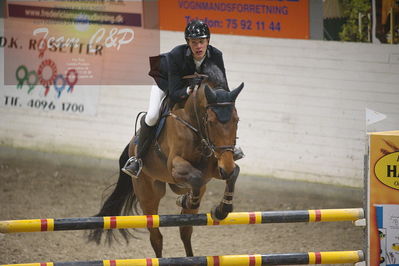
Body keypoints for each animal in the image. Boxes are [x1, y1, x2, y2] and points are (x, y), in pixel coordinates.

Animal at [89, 68, 244, 258]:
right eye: (211, 121)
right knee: (156, 237)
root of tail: (133, 144)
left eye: (236, 120)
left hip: (176, 185)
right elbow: (197, 176)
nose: (226, 168)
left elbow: (233, 173)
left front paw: (222, 209)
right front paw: (190, 201)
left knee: (185, 230)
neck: (194, 123)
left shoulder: (216, 165)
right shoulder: (175, 167)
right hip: (148, 194)